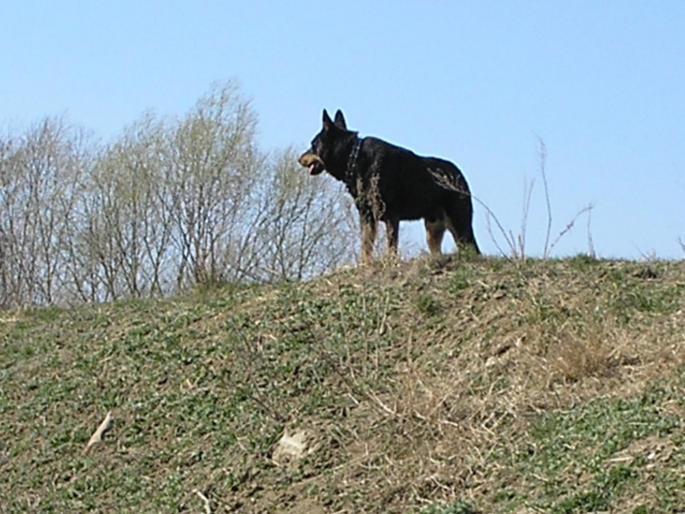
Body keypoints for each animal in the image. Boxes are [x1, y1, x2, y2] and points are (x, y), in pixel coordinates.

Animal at [296, 108, 478, 260]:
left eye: (313, 144)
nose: (299, 159)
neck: (354, 158)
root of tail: (459, 175)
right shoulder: (367, 216)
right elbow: (366, 245)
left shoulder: (391, 216)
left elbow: (391, 247)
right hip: (433, 229)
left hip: (460, 224)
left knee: (472, 248)